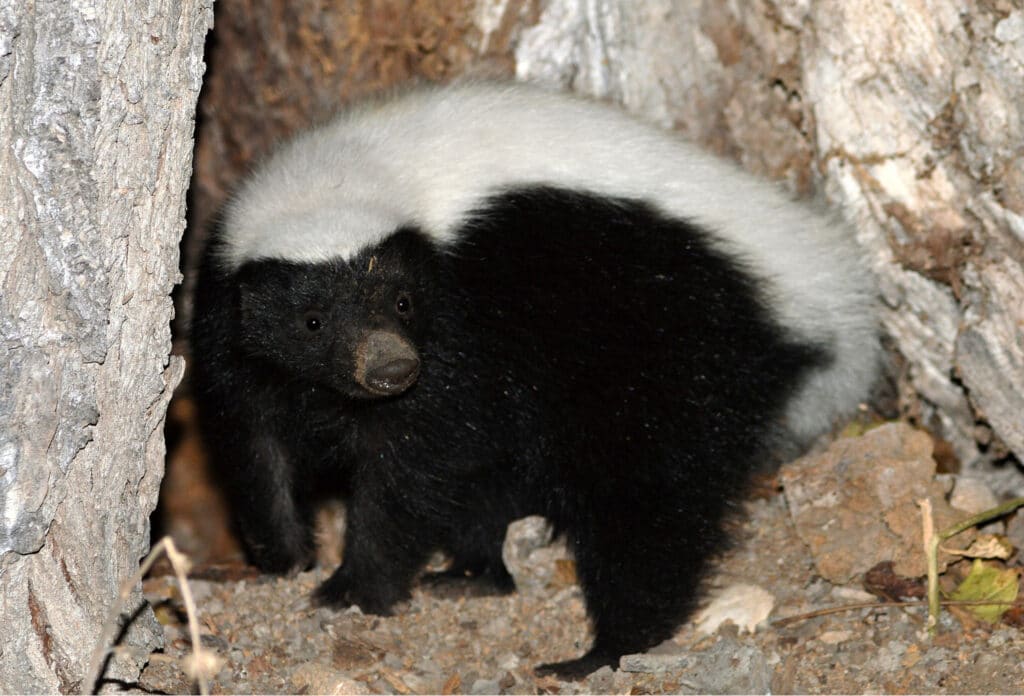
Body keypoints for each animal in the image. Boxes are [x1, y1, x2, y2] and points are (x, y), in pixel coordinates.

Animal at [192, 78, 880, 675]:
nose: (391, 367)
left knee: (649, 502)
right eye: (311, 321)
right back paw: (474, 576)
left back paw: (605, 649)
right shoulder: (228, 324)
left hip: (674, 357)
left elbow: (412, 463)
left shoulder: (458, 324)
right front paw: (286, 557)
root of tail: (812, 284)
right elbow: (254, 442)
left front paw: (358, 586)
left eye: (403, 302)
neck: (351, 170)